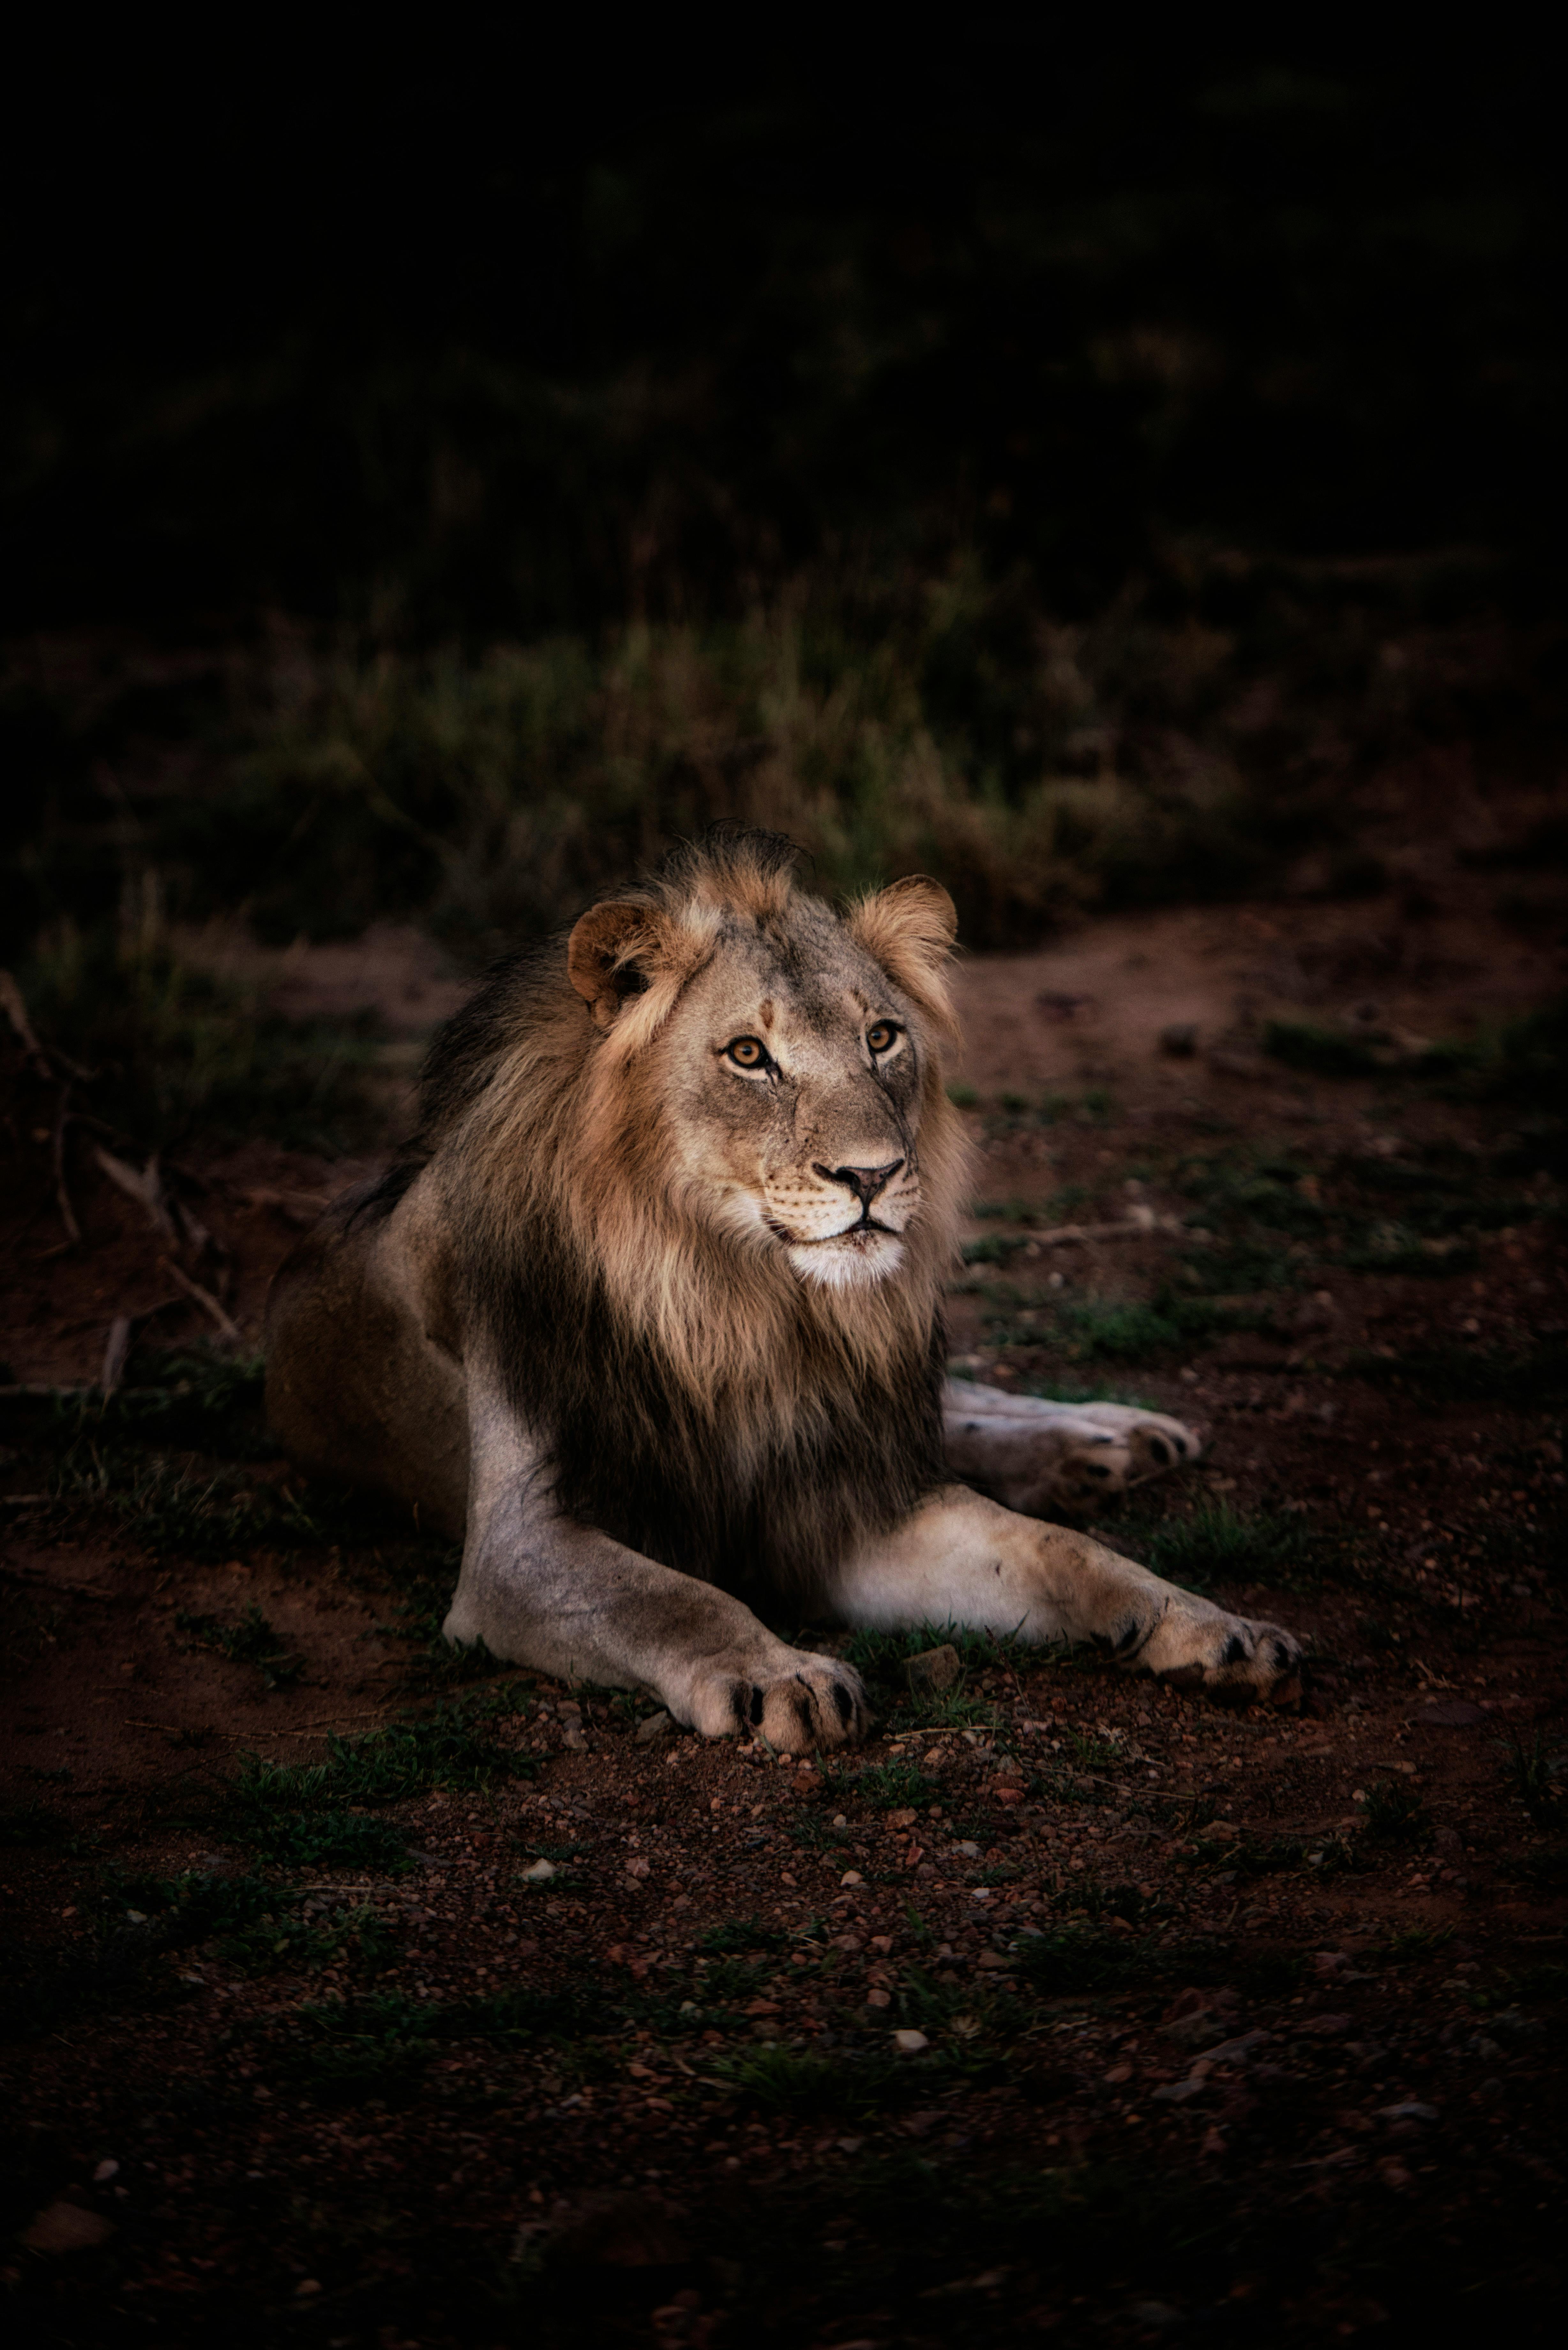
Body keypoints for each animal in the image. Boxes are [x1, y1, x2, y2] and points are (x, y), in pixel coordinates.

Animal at [265, 828, 1302, 1752]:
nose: (872, 1174)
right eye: (748, 1055)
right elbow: (678, 1599)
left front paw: (1207, 1623)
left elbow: (1061, 1551)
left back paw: (1110, 1435)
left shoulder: (844, 1496)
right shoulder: (520, 1548)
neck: (742, 1307)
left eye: (881, 1037)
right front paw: (784, 1675)